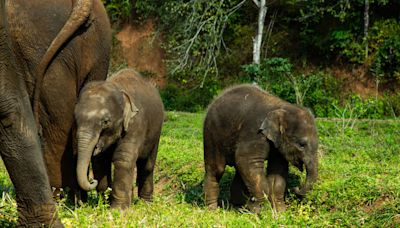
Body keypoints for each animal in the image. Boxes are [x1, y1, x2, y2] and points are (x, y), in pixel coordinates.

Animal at [0, 0, 111, 226]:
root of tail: (83, 4)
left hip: (37, 42)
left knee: (55, 124)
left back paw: (64, 199)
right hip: (98, 42)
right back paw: (77, 199)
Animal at [74, 67, 163, 208]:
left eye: (105, 121)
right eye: (76, 119)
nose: (92, 180)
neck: (118, 88)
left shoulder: (135, 123)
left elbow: (123, 159)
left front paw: (118, 209)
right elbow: (99, 161)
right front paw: (104, 204)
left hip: (156, 132)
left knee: (147, 166)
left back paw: (146, 203)